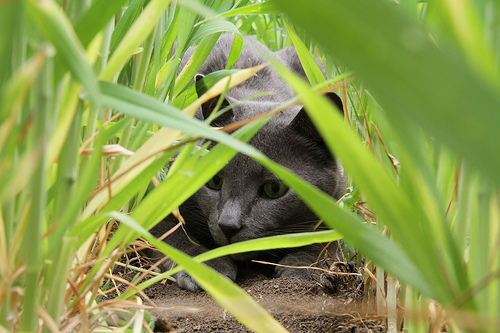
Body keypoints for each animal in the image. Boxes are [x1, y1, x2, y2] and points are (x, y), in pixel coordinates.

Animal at [150, 34, 346, 290]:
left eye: (274, 188)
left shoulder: (339, 191)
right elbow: (169, 235)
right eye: (214, 181)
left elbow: (333, 235)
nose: (228, 225)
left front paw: (305, 266)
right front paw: (207, 268)